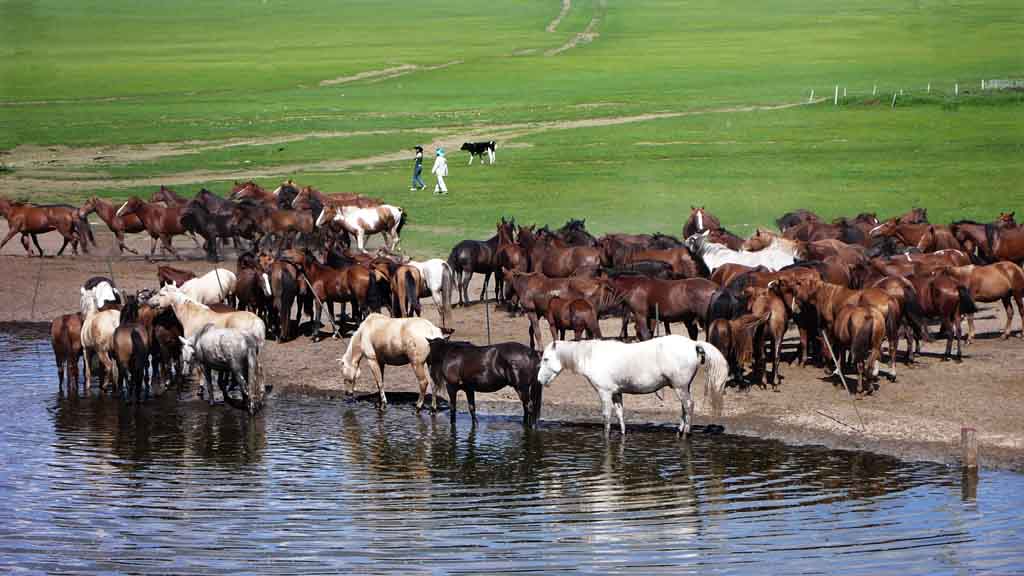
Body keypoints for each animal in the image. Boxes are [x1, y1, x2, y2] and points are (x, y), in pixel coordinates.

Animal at [536, 334, 729, 432]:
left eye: (546, 359)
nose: (539, 380)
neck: (592, 356)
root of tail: (693, 344)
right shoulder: (616, 393)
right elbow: (620, 415)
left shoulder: (604, 393)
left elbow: (607, 417)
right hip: (683, 387)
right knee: (684, 408)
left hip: (680, 387)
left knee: (689, 406)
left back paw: (685, 434)